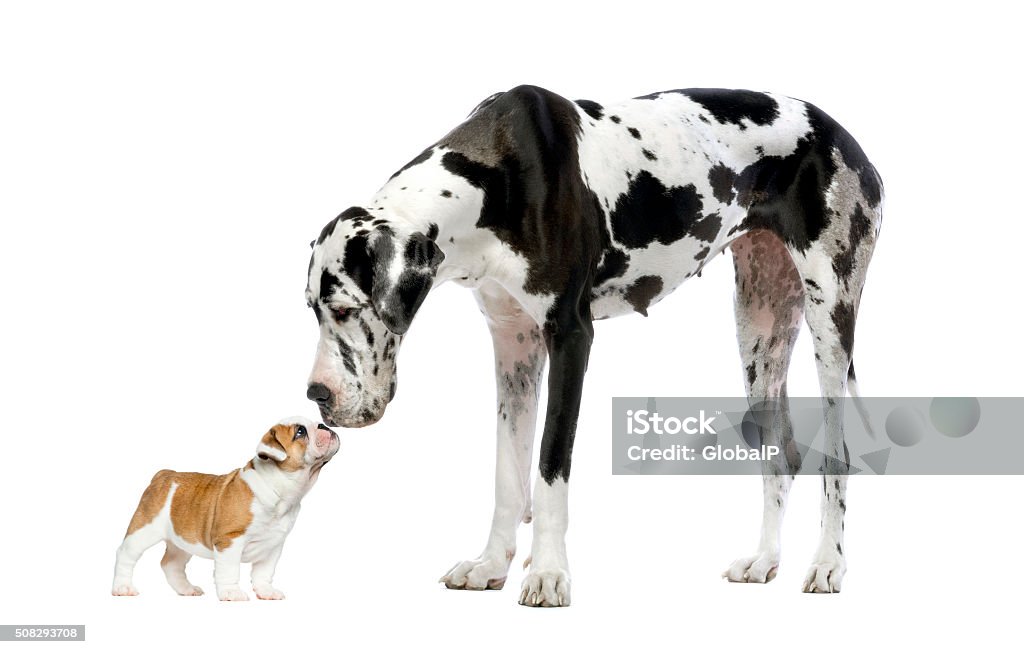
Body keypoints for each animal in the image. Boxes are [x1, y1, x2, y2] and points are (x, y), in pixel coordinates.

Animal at [111, 417, 339, 601]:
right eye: (300, 432)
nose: (324, 425)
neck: (278, 487)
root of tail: (164, 474)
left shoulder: (273, 545)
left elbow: (264, 572)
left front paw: (266, 591)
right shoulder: (230, 540)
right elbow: (229, 570)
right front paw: (231, 593)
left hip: (183, 540)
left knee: (171, 564)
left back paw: (186, 589)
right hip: (144, 529)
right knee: (126, 555)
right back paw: (123, 587)